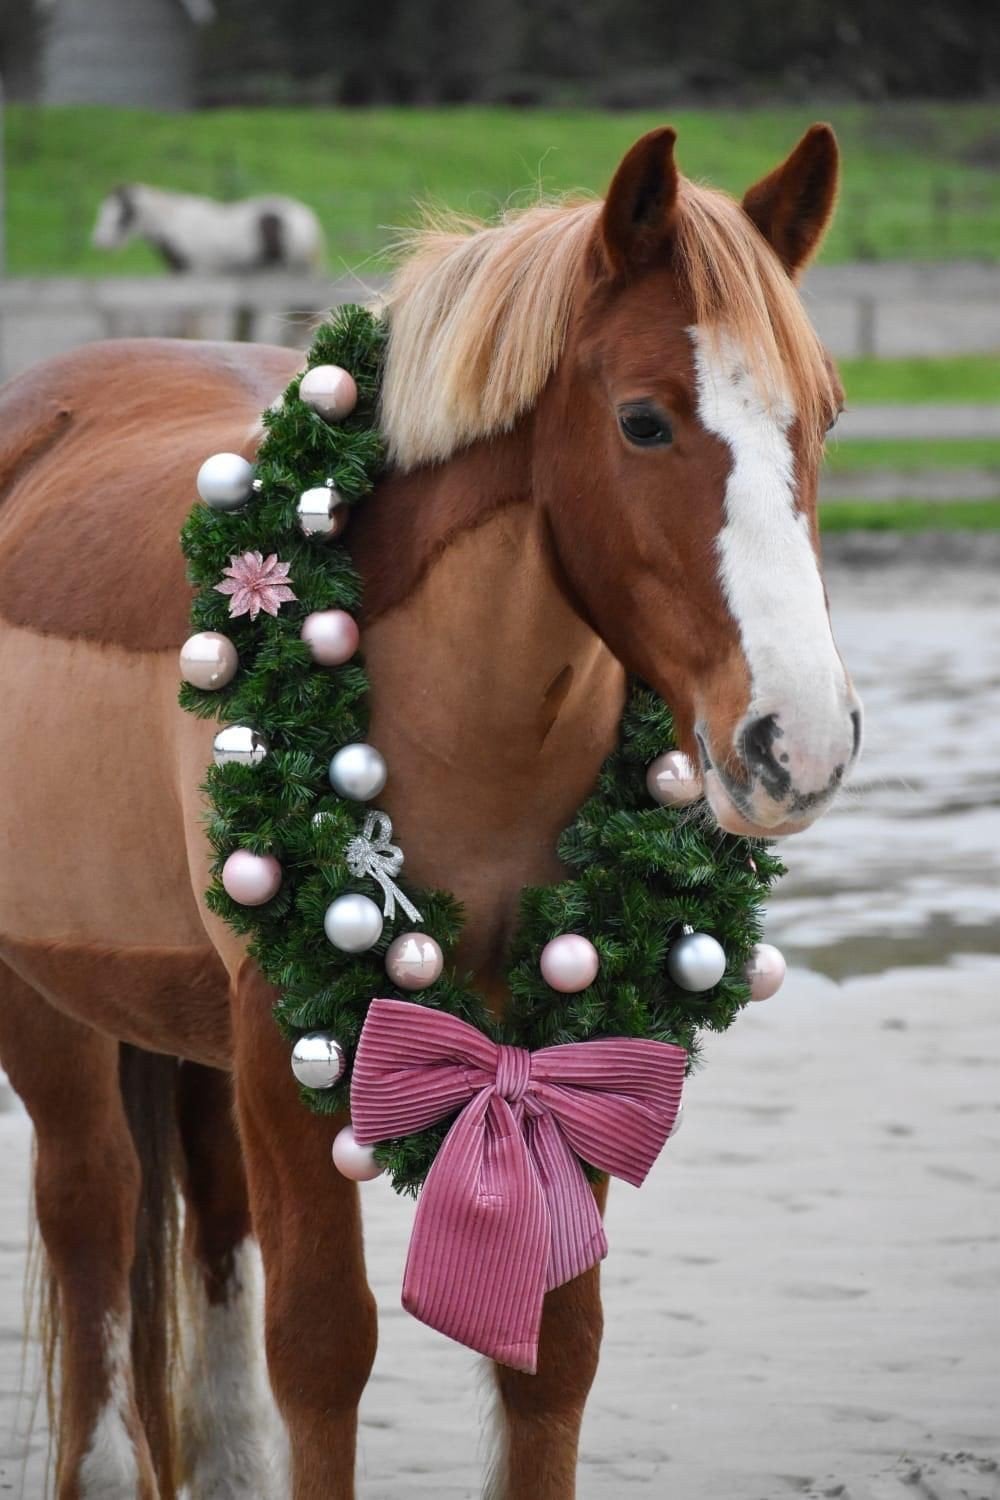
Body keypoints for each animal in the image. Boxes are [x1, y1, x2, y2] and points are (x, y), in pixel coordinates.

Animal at [91, 184, 326, 273]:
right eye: (103, 211)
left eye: (123, 214)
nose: (100, 241)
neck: (175, 224)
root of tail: (306, 215)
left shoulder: (197, 274)